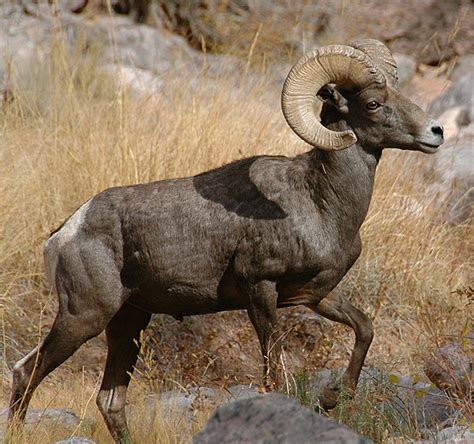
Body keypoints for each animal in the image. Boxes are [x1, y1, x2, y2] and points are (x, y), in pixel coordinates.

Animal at [9, 40, 442, 442]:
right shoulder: (260, 290)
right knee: (26, 371)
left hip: (128, 322)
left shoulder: (315, 295)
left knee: (110, 400)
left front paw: (333, 397)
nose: (436, 132)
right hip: (84, 317)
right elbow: (275, 375)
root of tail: (65, 233)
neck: (320, 200)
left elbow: (364, 328)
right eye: (373, 103)